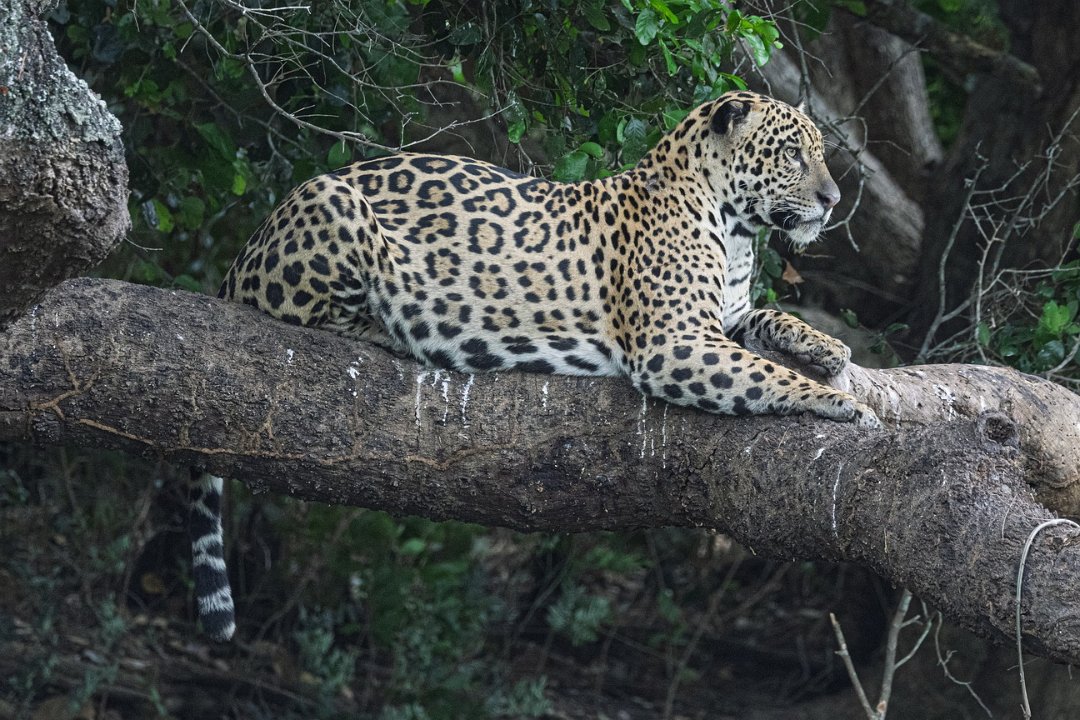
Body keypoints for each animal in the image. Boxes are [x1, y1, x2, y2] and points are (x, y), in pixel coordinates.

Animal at [188, 90, 882, 641]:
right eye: (792, 153)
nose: (832, 199)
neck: (736, 231)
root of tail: (246, 250)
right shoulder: (674, 342)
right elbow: (768, 375)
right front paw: (847, 404)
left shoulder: (724, 320)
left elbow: (772, 317)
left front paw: (829, 347)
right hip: (333, 203)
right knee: (303, 310)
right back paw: (395, 331)